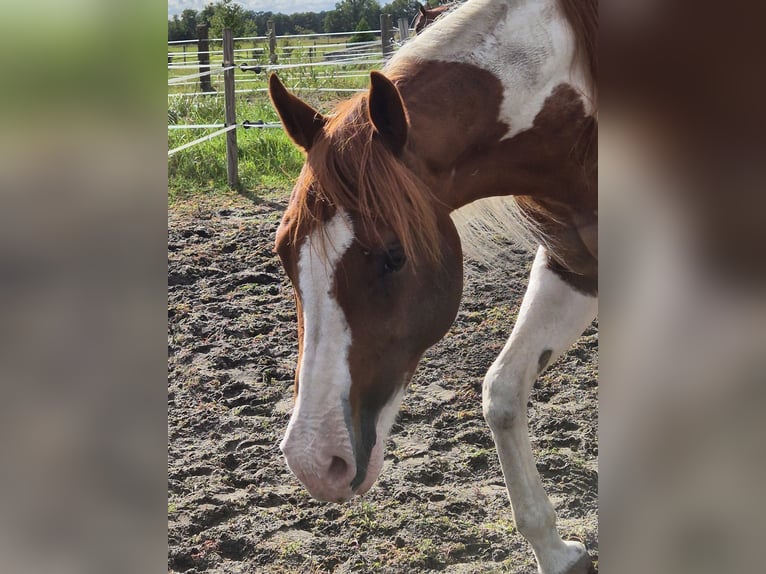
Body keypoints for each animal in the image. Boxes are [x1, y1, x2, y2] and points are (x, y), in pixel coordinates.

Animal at [267, 1, 597, 572]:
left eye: (394, 256)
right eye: (284, 253)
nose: (314, 461)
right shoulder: (573, 265)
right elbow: (503, 392)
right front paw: (556, 552)